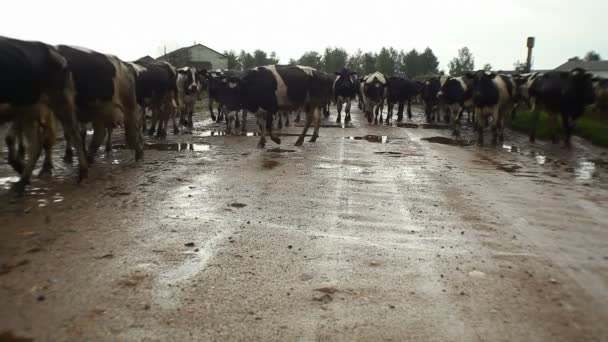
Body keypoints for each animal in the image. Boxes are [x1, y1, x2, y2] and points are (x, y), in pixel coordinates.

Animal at [0, 37, 88, 194]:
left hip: (58, 101)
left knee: (74, 134)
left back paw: (82, 173)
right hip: (29, 108)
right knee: (36, 144)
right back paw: (22, 180)